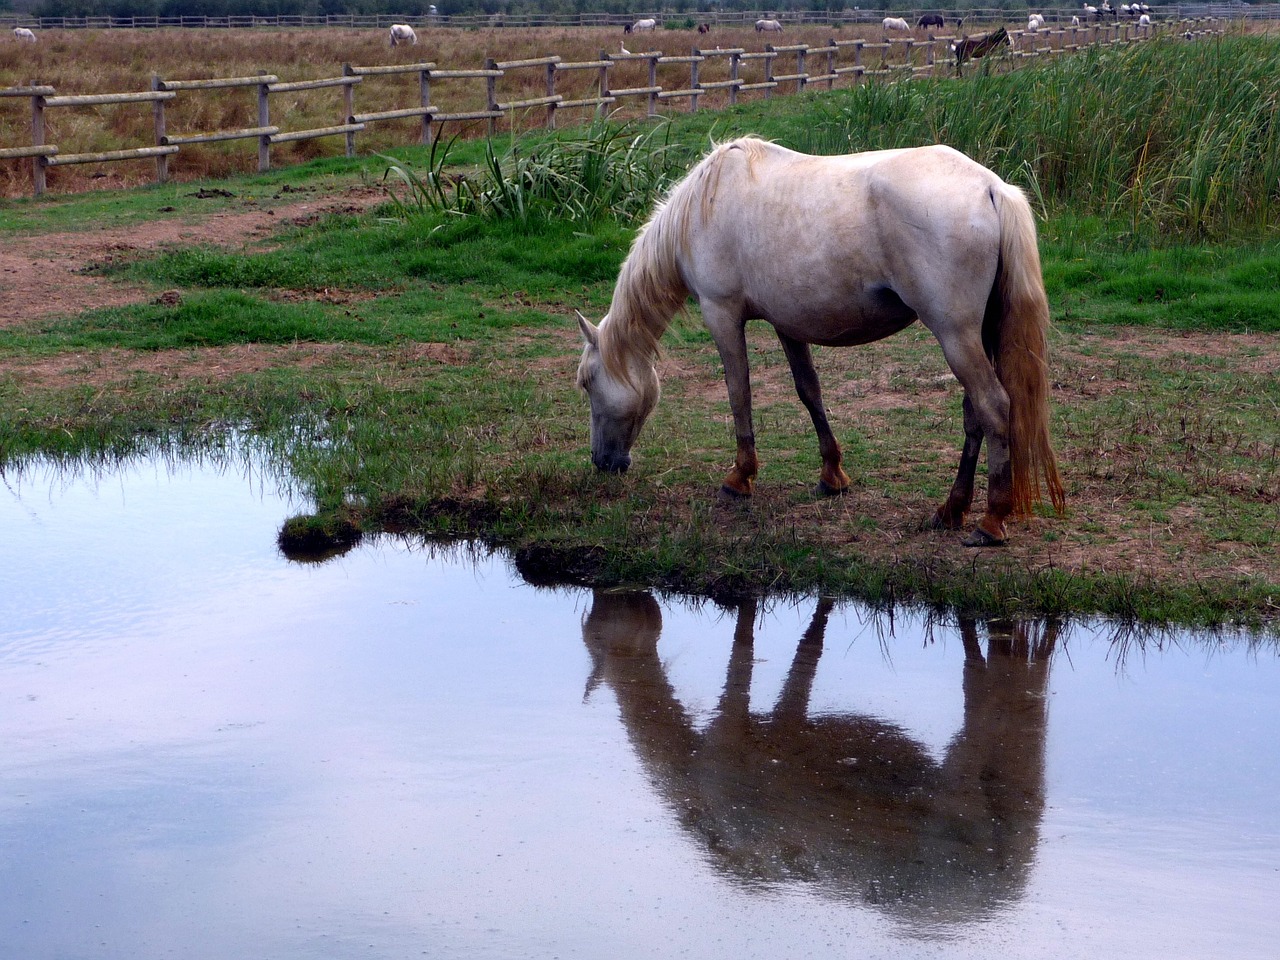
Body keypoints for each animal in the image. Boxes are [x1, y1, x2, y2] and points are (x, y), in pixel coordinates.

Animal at [576, 140, 1064, 552]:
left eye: (587, 383)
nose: (603, 462)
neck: (704, 205)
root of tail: (991, 188)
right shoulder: (786, 324)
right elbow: (809, 391)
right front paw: (832, 476)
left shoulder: (721, 316)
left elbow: (739, 393)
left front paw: (740, 477)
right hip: (975, 336)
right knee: (974, 414)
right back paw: (952, 510)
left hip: (955, 335)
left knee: (994, 407)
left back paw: (991, 520)